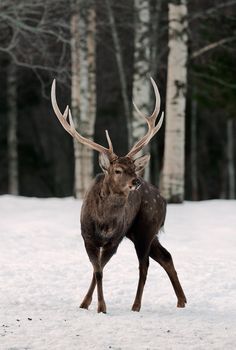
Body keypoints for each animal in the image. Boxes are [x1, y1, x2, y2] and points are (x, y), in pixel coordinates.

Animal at [50, 78, 187, 314]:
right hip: (143, 232)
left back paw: (136, 305)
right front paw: (86, 304)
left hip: (145, 229)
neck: (103, 222)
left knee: (144, 266)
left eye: (133, 168)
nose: (136, 181)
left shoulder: (115, 239)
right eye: (118, 170)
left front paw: (101, 307)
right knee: (165, 256)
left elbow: (100, 270)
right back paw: (182, 300)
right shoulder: (87, 237)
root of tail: (163, 200)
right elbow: (97, 270)